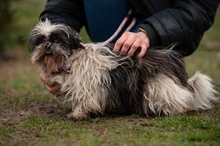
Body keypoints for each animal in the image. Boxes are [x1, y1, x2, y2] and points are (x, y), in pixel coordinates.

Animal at [29, 19, 218, 120]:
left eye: (57, 40)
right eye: (40, 41)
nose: (47, 45)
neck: (71, 60)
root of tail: (171, 58)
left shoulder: (87, 87)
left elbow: (84, 100)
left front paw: (79, 114)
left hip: (157, 84)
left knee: (177, 96)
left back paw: (172, 110)